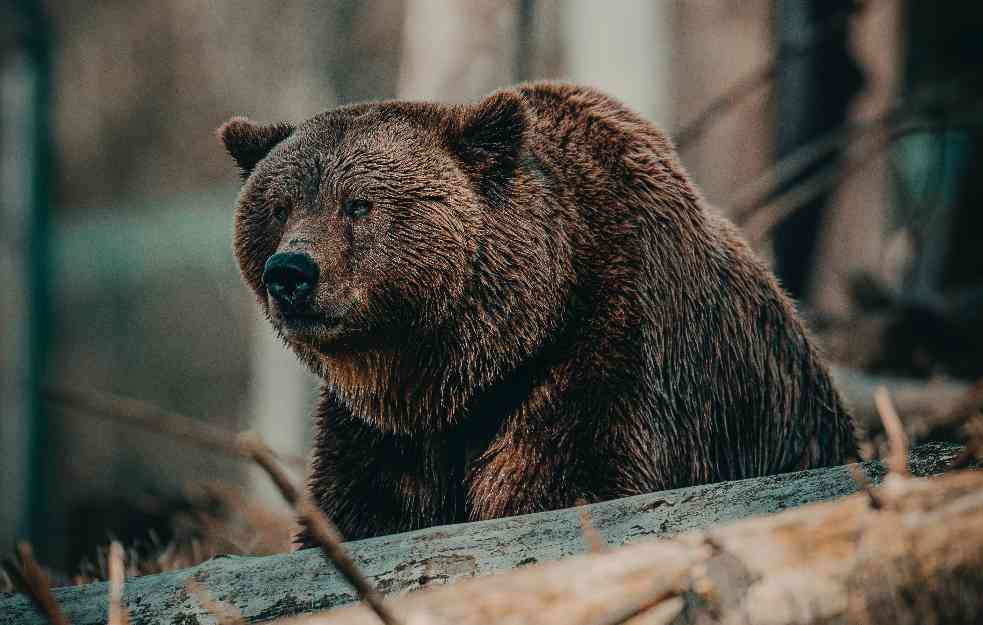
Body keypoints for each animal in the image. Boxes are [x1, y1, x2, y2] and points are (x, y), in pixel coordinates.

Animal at [219, 81, 856, 540]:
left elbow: (569, 479)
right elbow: (359, 509)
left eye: (358, 205)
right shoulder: (382, 431)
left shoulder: (616, 350)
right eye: (279, 207)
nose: (290, 273)